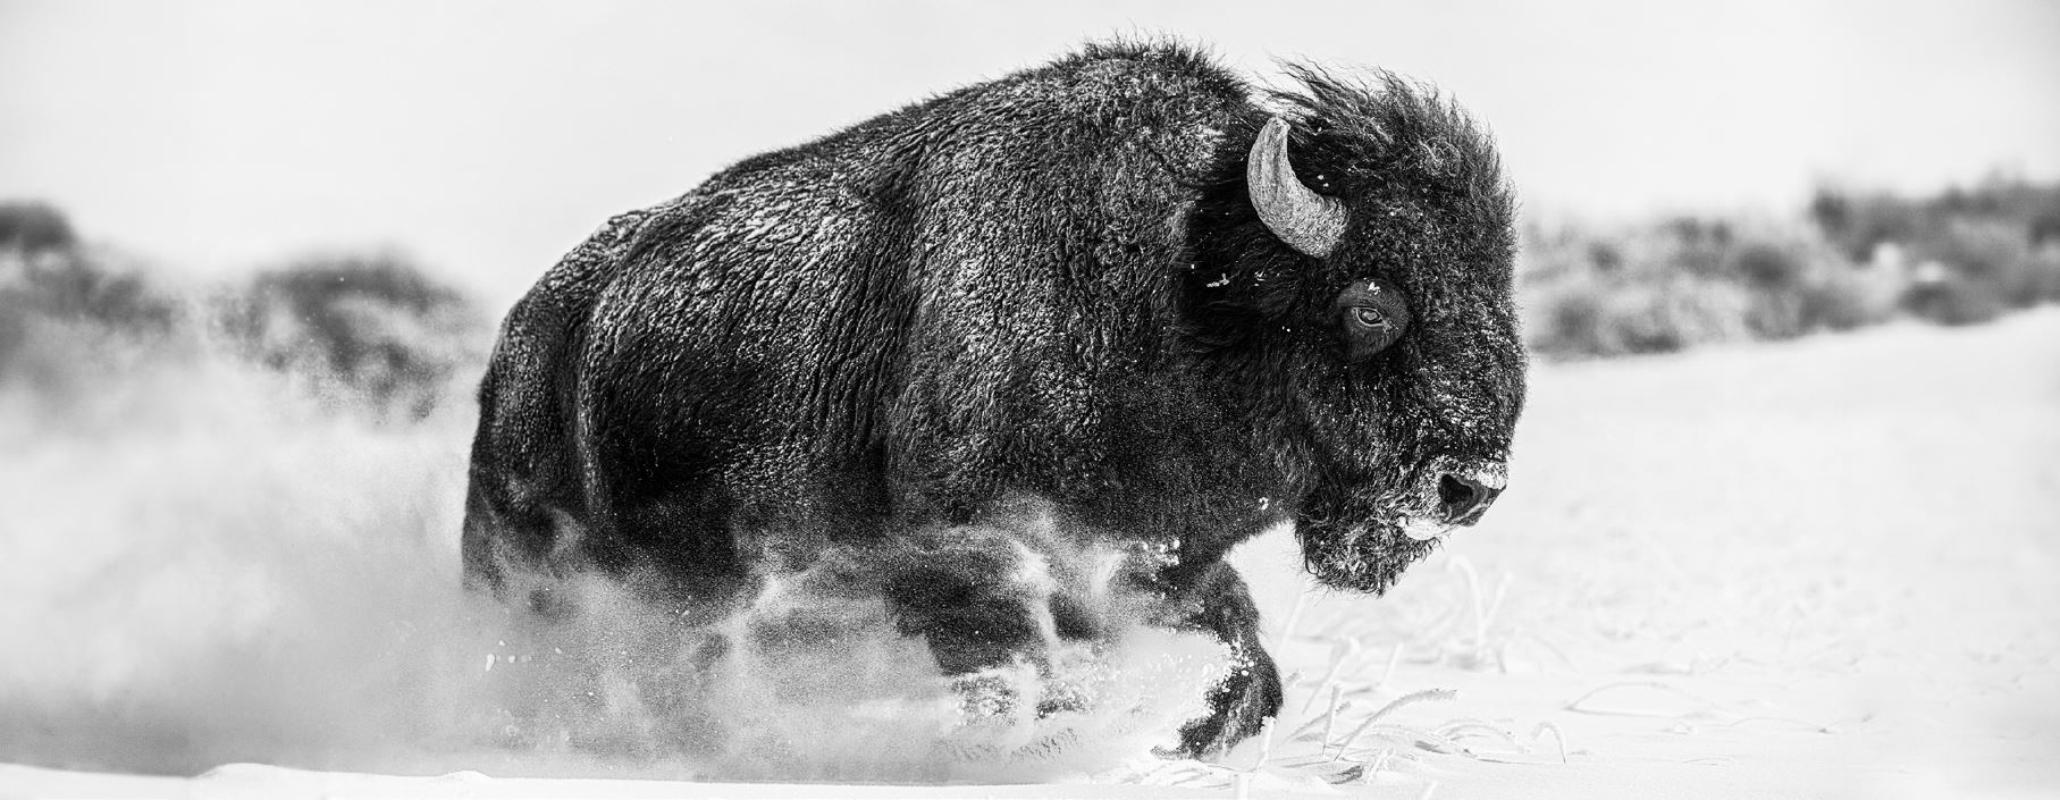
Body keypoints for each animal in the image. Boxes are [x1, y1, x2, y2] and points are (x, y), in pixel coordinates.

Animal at [462, 40, 1524, 757]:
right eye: (1371, 300)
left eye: (1496, 285)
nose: (1469, 487)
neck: (1186, 282)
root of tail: (537, 324)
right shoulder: (986, 550)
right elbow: (1025, 663)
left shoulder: (1166, 559)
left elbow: (1238, 660)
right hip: (523, 560)